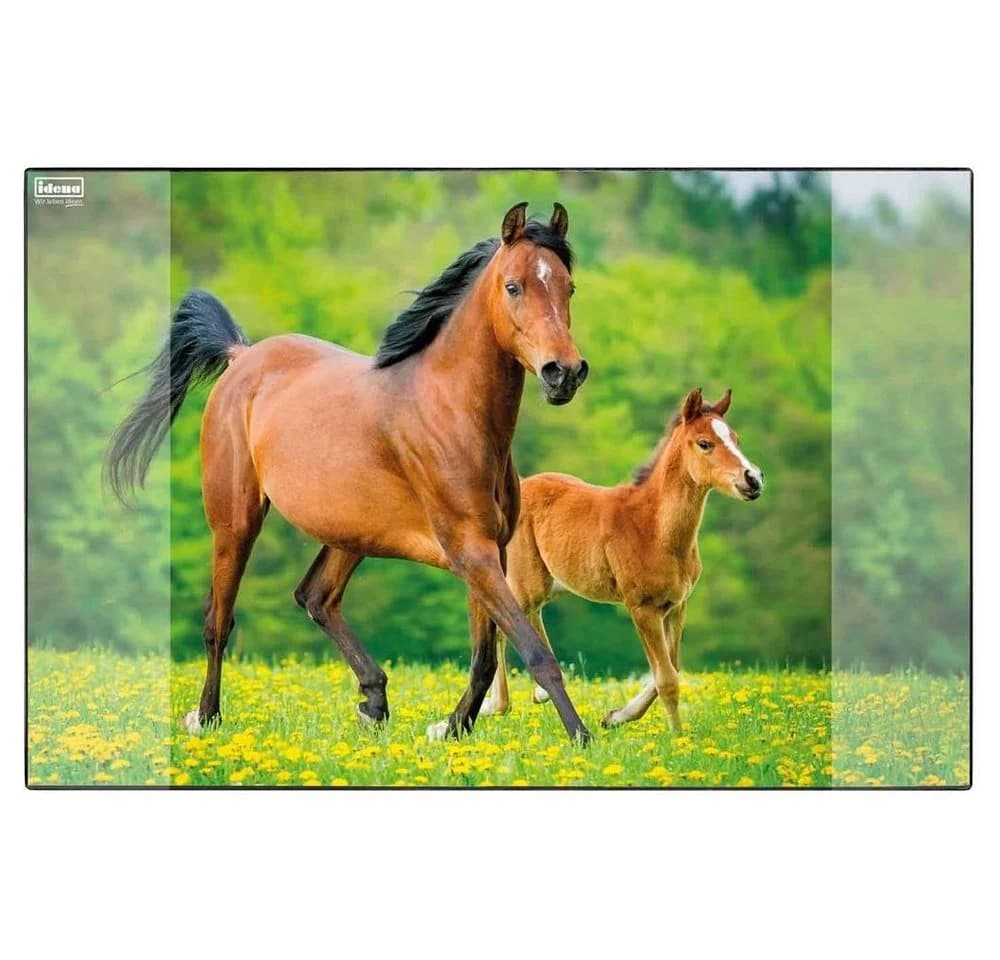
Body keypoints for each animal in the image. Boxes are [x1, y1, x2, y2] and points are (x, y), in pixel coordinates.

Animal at [106, 202, 594, 744]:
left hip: (351, 532)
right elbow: (535, 653)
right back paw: (206, 716)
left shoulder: (488, 551)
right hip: (236, 522)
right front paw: (582, 739)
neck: (454, 415)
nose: (563, 373)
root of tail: (242, 356)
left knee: (315, 596)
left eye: (569, 286)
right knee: (220, 619)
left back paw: (374, 700)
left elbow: (485, 657)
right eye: (513, 286)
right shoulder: (471, 551)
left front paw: (452, 727)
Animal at [480, 387, 764, 731]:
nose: (753, 479)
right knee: (505, 619)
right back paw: (495, 705)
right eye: (704, 443)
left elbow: (670, 669)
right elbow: (667, 679)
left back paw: (538, 693)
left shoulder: (676, 606)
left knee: (528, 617)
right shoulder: (642, 607)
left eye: (736, 438)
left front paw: (616, 716)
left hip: (548, 584)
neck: (654, 528)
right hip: (528, 581)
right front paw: (678, 737)